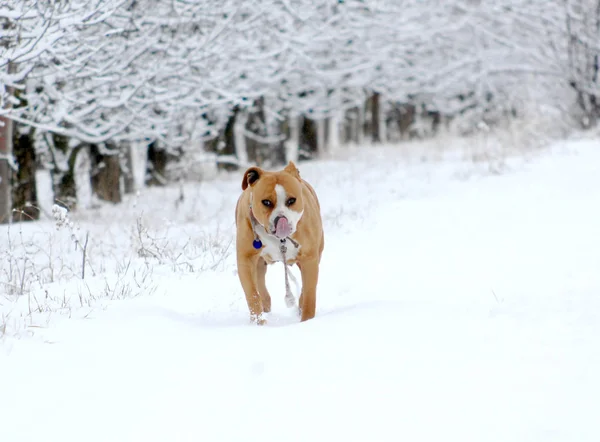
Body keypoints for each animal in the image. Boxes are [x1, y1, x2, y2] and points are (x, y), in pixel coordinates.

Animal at [234, 162, 324, 324]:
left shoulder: (309, 258)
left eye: (291, 200)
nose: (281, 219)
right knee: (261, 287)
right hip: (260, 264)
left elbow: (309, 293)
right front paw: (258, 322)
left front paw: (307, 321)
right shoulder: (246, 259)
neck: (278, 239)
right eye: (266, 202)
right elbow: (252, 293)